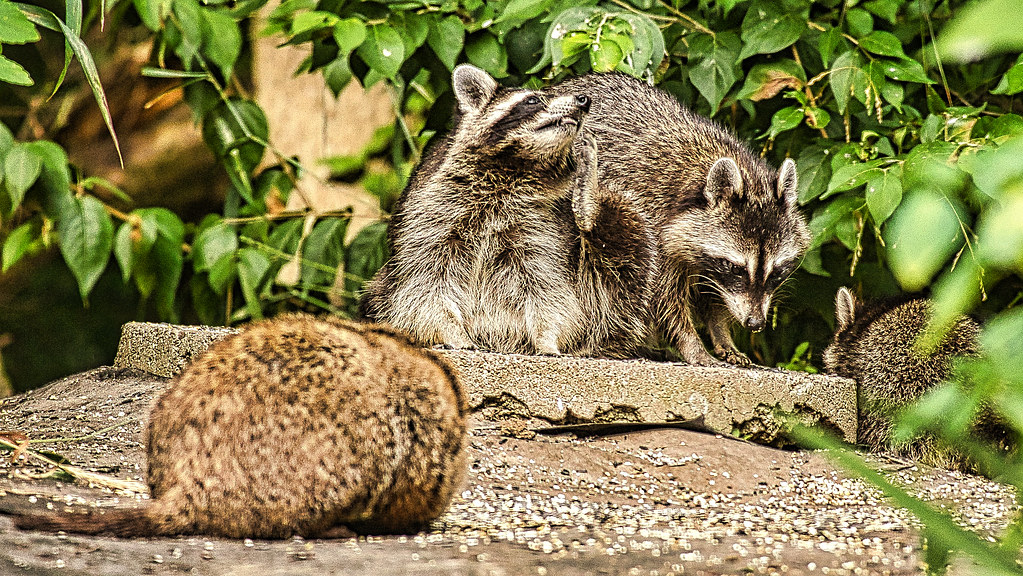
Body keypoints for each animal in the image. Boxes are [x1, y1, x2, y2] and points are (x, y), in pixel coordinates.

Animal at [361, 65, 655, 358]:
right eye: (533, 100)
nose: (584, 101)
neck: (516, 166)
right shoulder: (431, 211)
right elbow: (424, 285)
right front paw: (451, 331)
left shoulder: (542, 224)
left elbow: (548, 287)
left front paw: (547, 337)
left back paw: (590, 205)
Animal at [549, 74, 810, 366]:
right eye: (736, 268)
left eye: (776, 271)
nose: (755, 323)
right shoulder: (653, 220)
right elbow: (662, 299)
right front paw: (691, 343)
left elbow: (715, 296)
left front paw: (721, 333)